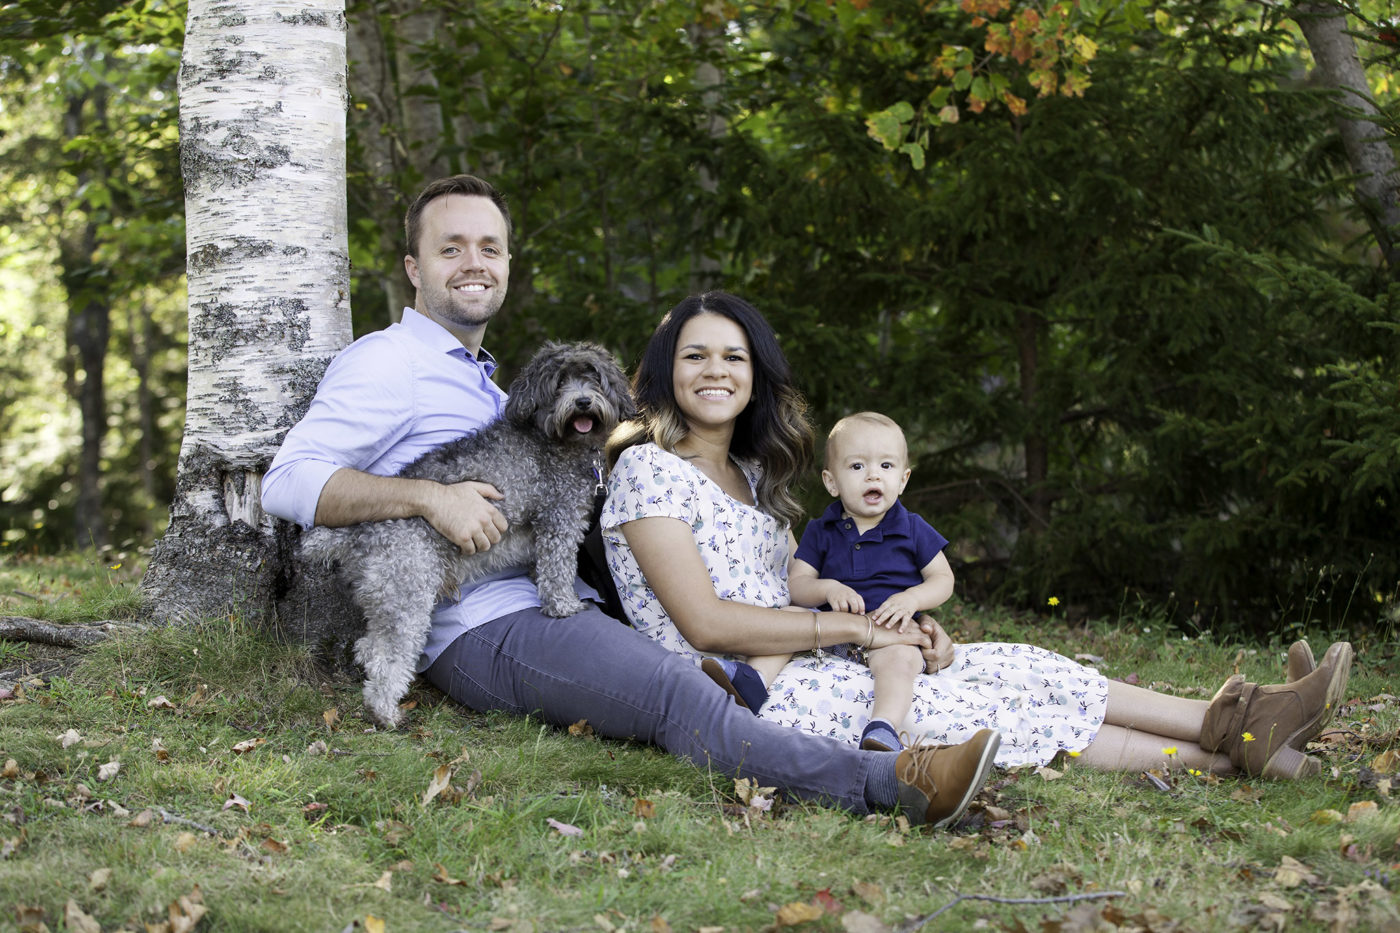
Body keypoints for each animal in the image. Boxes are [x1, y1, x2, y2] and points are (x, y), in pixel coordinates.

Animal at [306, 341, 641, 728]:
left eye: (594, 378)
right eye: (560, 383)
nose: (583, 401)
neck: (554, 439)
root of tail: (357, 535)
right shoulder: (559, 519)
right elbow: (558, 570)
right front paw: (563, 606)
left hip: (386, 598)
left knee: (370, 647)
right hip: (409, 595)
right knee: (389, 661)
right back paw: (386, 712)